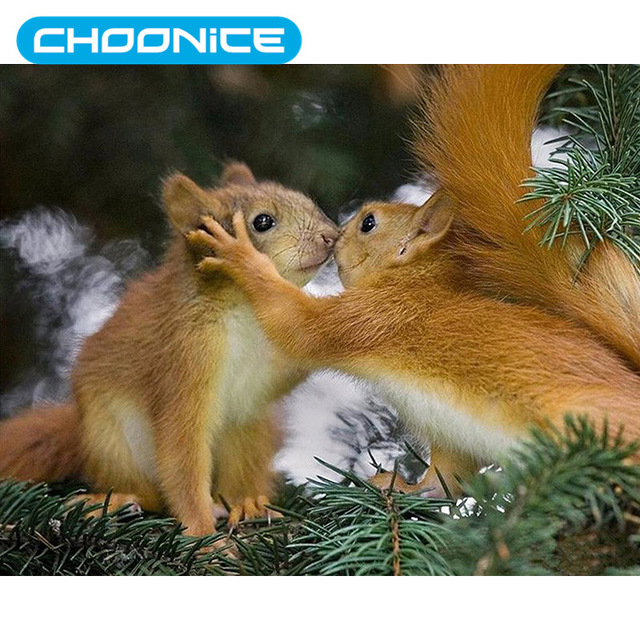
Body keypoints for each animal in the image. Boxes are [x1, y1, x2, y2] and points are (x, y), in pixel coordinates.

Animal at [0, 162, 337, 535]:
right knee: (151, 494)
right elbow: (182, 454)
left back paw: (247, 503)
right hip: (112, 439)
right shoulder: (184, 358)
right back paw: (118, 501)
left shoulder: (270, 364)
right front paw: (204, 536)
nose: (332, 236)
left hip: (252, 427)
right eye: (262, 221)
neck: (246, 310)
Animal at [189, 66, 640, 496]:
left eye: (369, 223)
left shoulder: (373, 316)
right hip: (453, 433)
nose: (334, 234)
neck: (411, 284)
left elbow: (299, 326)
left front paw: (240, 255)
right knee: (446, 479)